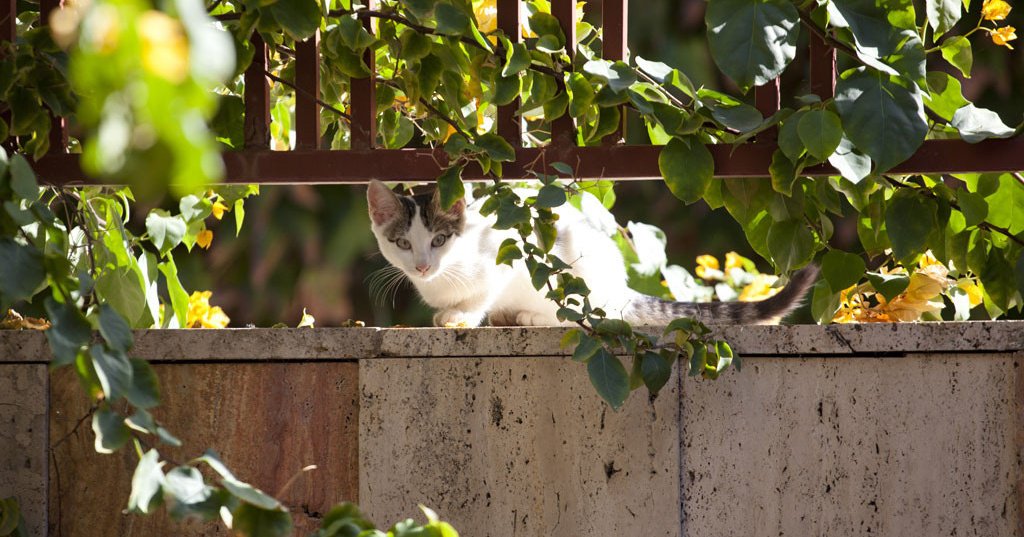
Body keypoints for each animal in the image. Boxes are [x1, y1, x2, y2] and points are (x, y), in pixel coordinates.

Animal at [364, 181, 819, 327]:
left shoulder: (505, 255)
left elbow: (484, 293)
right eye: (402, 244)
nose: (423, 265)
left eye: (440, 239)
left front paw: (461, 316)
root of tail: (621, 290)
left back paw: (530, 316)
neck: (446, 277)